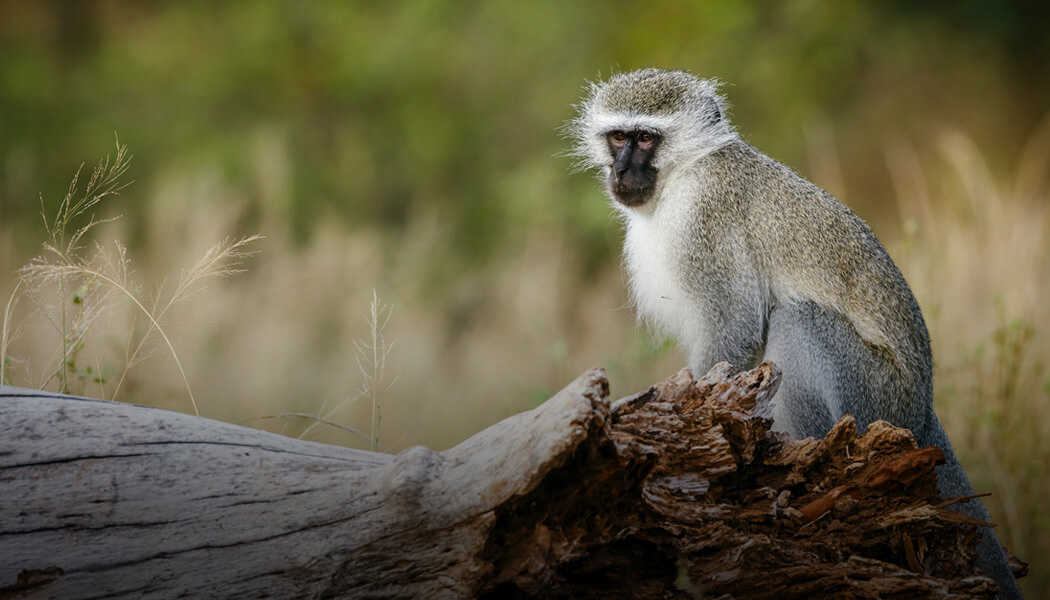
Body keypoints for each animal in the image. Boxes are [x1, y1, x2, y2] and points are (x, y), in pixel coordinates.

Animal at [569, 68, 1022, 599]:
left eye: (645, 139)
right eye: (618, 138)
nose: (621, 171)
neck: (684, 172)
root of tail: (923, 410)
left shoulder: (704, 220)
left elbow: (736, 330)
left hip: (874, 396)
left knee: (797, 321)